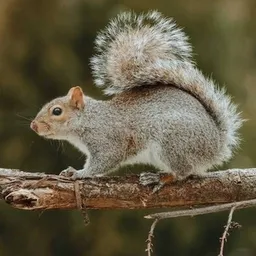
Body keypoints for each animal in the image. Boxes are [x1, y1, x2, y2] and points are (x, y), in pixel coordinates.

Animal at [29, 10, 242, 184]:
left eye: (57, 111)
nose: (33, 126)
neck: (89, 120)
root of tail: (216, 145)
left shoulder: (108, 140)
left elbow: (104, 161)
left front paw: (79, 173)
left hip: (173, 142)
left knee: (183, 172)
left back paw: (160, 178)